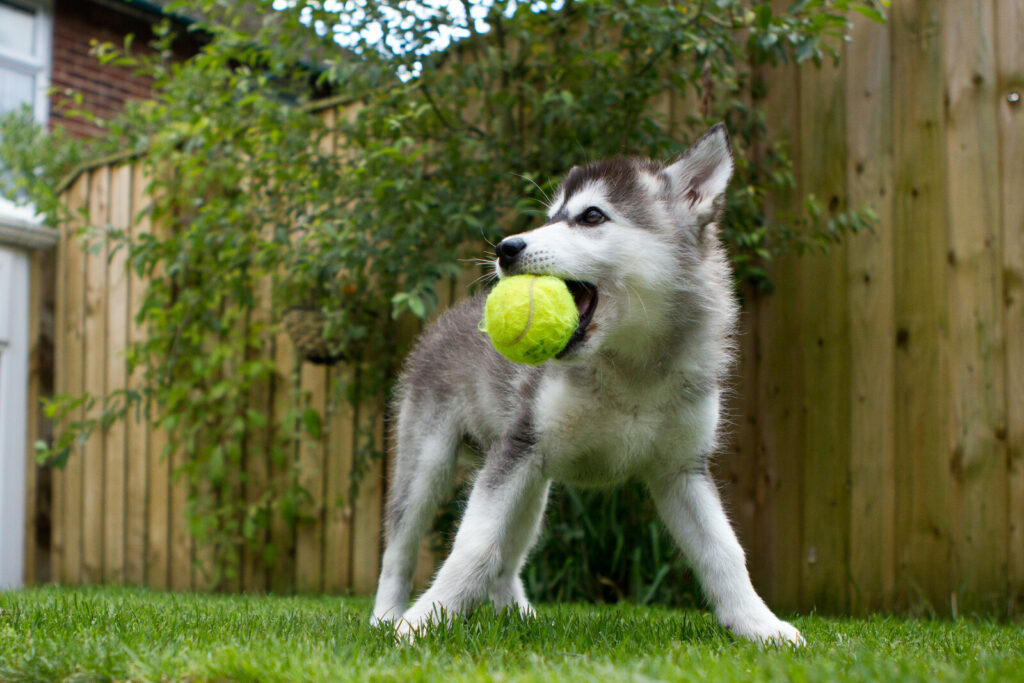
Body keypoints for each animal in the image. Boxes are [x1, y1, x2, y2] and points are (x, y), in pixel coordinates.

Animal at [372, 124, 802, 647]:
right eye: (551, 218)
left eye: (591, 216)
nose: (505, 248)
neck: (632, 369)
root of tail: (447, 318)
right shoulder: (520, 446)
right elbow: (473, 546)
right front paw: (423, 622)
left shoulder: (682, 470)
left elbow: (724, 551)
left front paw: (760, 625)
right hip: (429, 462)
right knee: (400, 547)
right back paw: (385, 616)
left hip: (532, 490)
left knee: (509, 553)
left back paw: (515, 613)